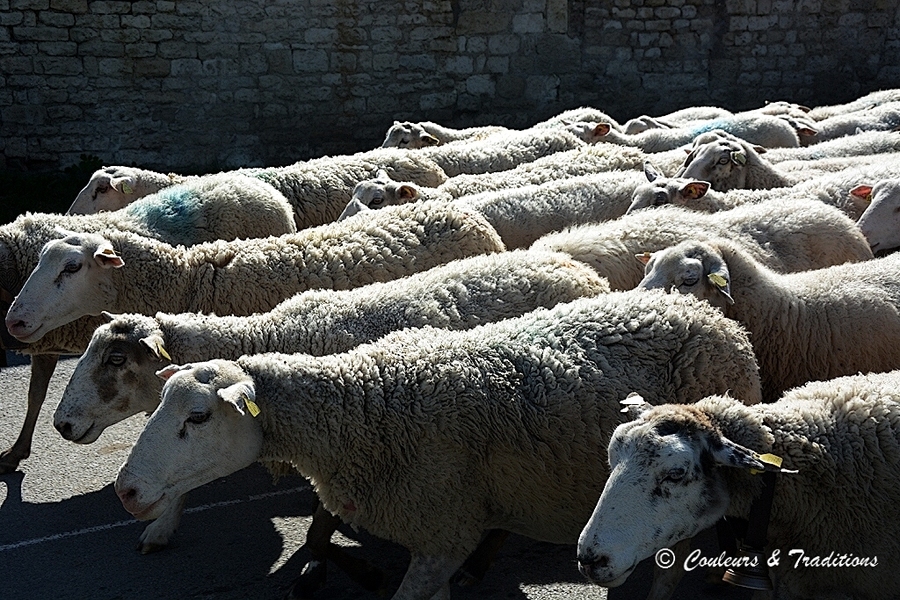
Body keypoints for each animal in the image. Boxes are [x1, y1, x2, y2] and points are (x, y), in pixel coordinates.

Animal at [110, 288, 760, 596]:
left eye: (197, 418)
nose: (127, 492)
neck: (363, 405)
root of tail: (704, 311)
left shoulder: (441, 531)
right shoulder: (434, 535)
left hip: (683, 501)